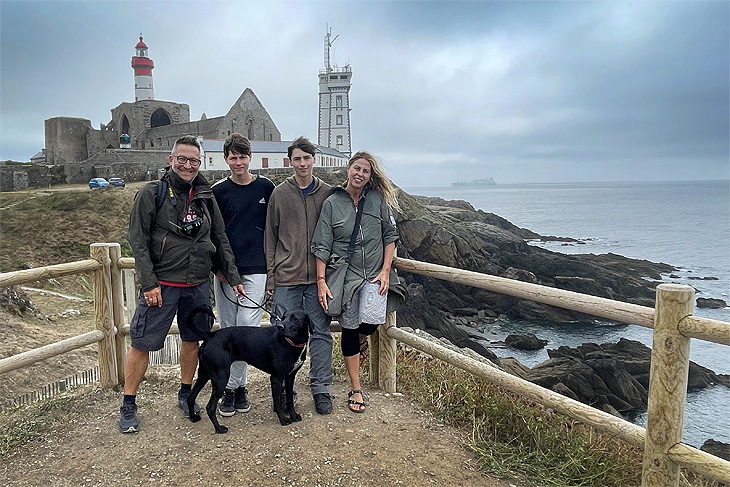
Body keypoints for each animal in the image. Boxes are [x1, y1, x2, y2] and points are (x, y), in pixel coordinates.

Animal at [185, 306, 308, 436]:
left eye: (295, 319)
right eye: (283, 318)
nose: (280, 326)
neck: (290, 342)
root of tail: (210, 335)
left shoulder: (290, 377)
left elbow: (289, 400)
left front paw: (294, 416)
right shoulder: (276, 378)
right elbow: (278, 401)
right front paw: (283, 420)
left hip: (204, 374)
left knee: (191, 396)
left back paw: (193, 417)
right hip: (221, 378)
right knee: (210, 407)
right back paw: (219, 428)